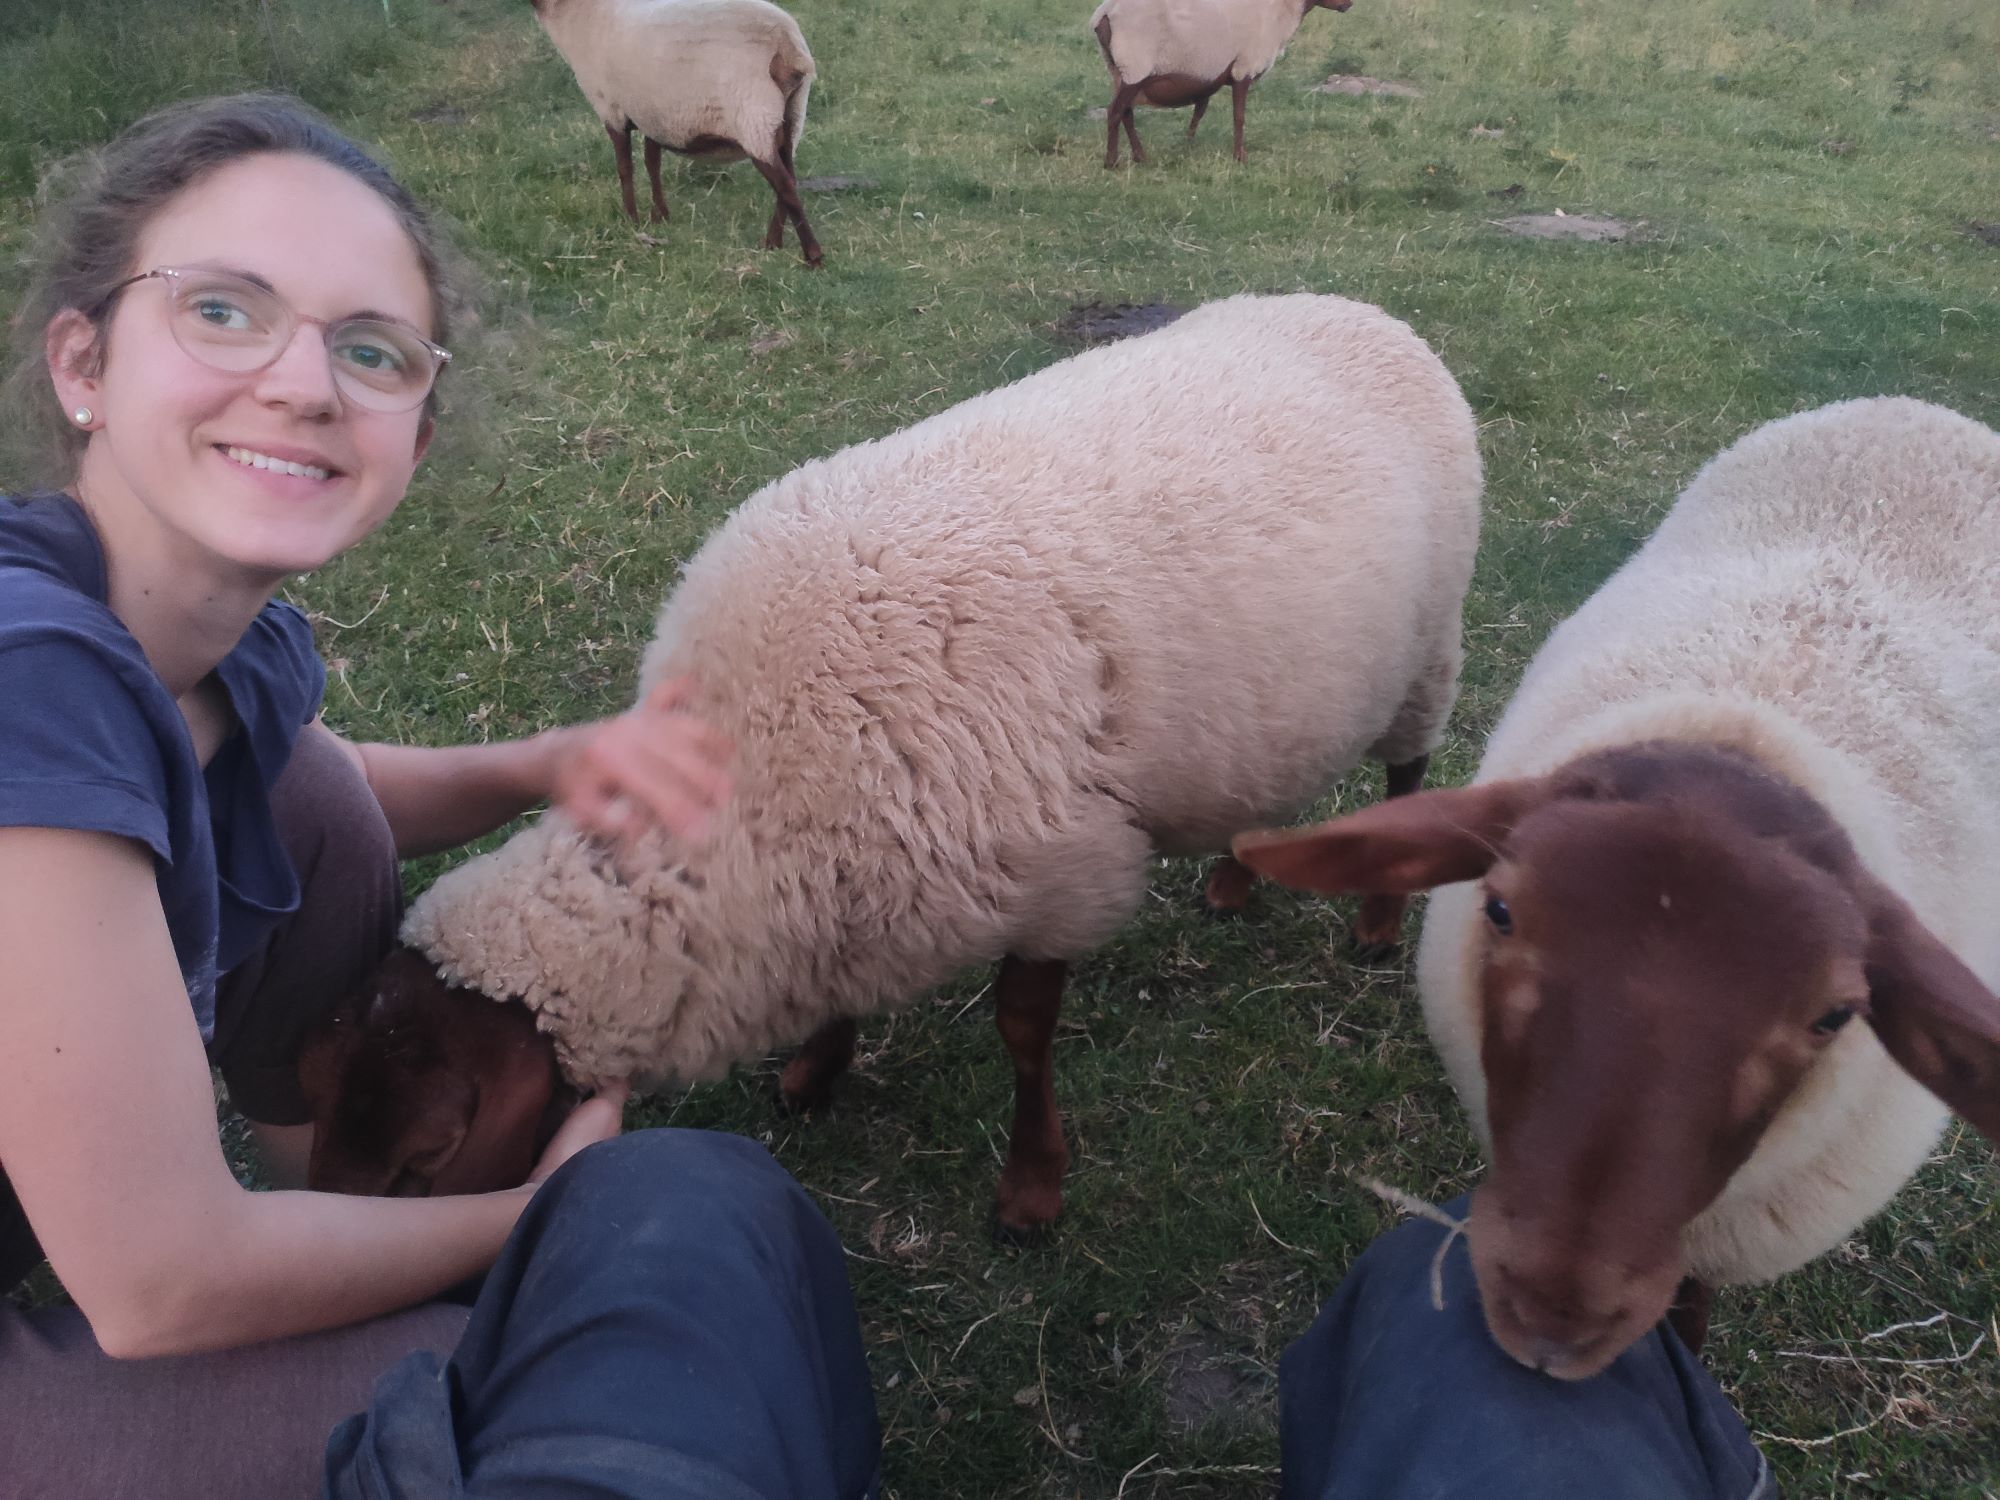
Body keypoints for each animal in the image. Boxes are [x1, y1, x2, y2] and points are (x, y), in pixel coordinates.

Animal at [299, 292, 1484, 1233]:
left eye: (422, 1160)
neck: (758, 769)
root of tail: (1364, 310)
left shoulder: (1062, 877)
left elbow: (1023, 1036)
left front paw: (1030, 1192)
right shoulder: (851, 883)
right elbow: (846, 1001)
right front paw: (816, 1070)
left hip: (1429, 648)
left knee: (1410, 774)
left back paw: (1378, 924)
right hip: (1273, 705)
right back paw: (1234, 879)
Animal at [530, 0, 823, 266]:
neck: (577, 13)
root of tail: (787, 44)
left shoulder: (612, 109)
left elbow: (625, 168)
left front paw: (632, 220)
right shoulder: (655, 116)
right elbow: (652, 163)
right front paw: (660, 216)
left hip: (754, 117)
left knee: (785, 185)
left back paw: (813, 255)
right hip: (791, 114)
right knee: (789, 179)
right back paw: (773, 243)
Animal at [1090, 0, 1354, 170]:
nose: (1349, 4)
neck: (1278, 11)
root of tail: (1104, 13)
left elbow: (1199, 112)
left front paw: (1188, 144)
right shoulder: (1243, 68)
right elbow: (1239, 116)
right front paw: (1240, 157)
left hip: (1118, 68)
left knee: (1126, 112)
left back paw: (1140, 158)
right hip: (1134, 64)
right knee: (1115, 111)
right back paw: (1111, 162)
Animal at [1232, 397, 2000, 1378]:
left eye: (1836, 1015)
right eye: (1500, 909)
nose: (1553, 1319)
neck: (1750, 728)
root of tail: (1911, 406)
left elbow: (1693, 1303)